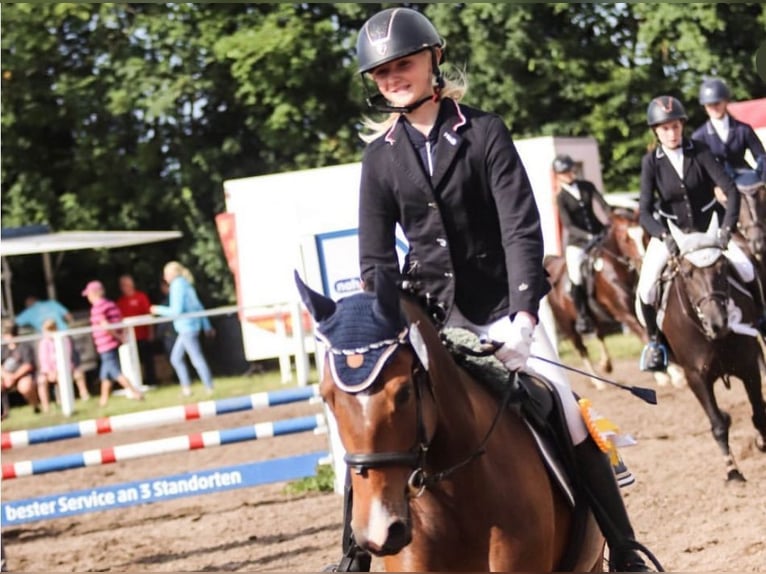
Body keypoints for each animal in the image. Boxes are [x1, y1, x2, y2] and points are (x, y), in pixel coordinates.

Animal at [544, 209, 647, 389]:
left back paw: (606, 365)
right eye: (626, 239)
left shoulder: (634, 312)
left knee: (599, 334)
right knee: (582, 349)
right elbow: (644, 336)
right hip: (567, 324)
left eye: (643, 235)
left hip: (594, 316)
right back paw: (598, 382)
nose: (642, 263)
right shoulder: (625, 314)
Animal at [660, 217, 766, 481]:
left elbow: (759, 411)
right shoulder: (695, 377)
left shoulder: (748, 366)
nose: (718, 322)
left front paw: (762, 442)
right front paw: (732, 471)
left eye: (722, 269)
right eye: (687, 274)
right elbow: (717, 424)